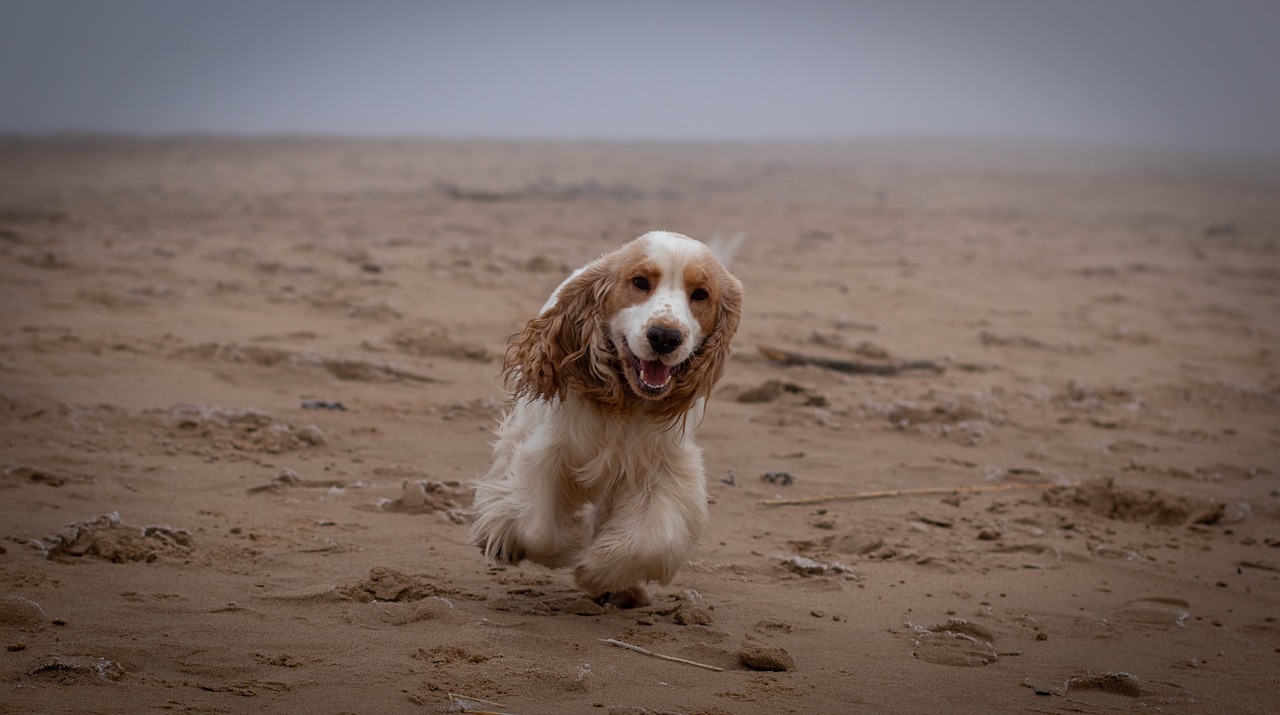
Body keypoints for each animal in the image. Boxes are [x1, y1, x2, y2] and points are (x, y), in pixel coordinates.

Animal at [471, 232, 747, 606]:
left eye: (700, 294)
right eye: (640, 282)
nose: (665, 337)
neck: (627, 401)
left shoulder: (663, 469)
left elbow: (652, 543)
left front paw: (597, 572)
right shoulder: (548, 452)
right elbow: (537, 528)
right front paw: (569, 546)